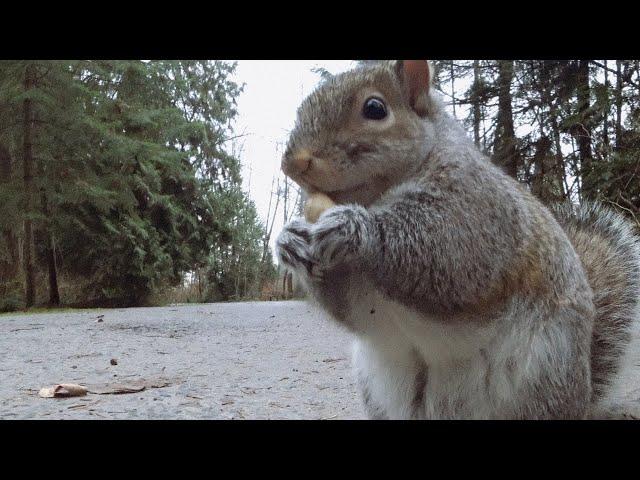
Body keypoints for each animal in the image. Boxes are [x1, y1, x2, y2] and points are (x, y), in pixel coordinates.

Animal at [276, 60, 640, 420]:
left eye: (375, 109)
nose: (293, 163)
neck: (377, 194)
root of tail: (583, 394)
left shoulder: (479, 213)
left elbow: (448, 255)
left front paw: (354, 227)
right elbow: (353, 308)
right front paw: (289, 241)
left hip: (542, 375)